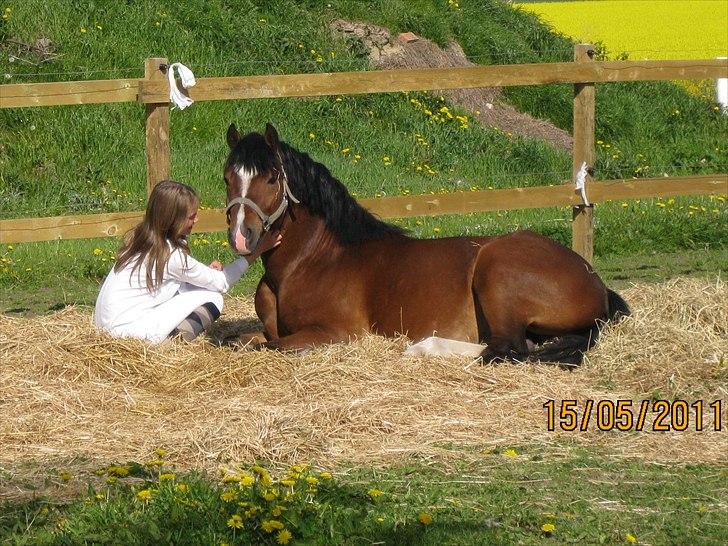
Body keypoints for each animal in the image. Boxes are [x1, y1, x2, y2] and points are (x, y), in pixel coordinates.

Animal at [225, 121, 628, 364]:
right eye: (228, 175)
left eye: (272, 177)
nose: (241, 235)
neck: (314, 259)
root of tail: (594, 279)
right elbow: (242, 341)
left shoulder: (334, 333)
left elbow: (270, 347)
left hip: (496, 272)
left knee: (507, 348)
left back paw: (424, 346)